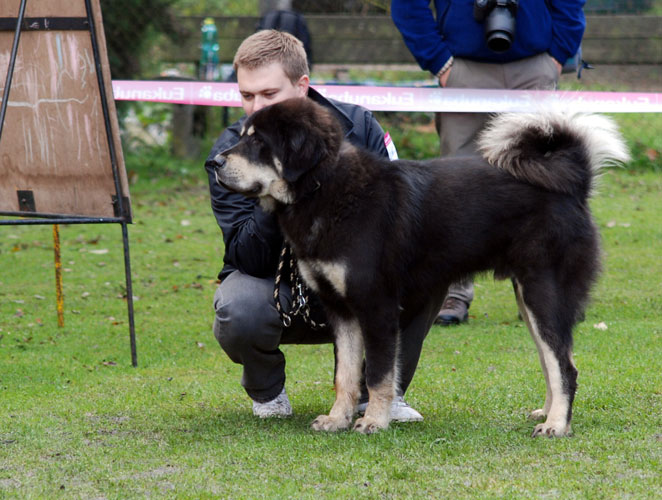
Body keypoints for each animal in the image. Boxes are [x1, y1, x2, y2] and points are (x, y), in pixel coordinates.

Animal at [214, 96, 632, 434]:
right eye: (243, 135)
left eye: (258, 141)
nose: (214, 161)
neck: (324, 188)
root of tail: (574, 185)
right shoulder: (340, 310)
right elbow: (345, 375)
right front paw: (337, 419)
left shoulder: (377, 306)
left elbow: (377, 373)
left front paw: (373, 421)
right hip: (530, 299)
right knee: (553, 360)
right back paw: (547, 413)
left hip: (544, 294)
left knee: (565, 366)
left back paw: (557, 425)